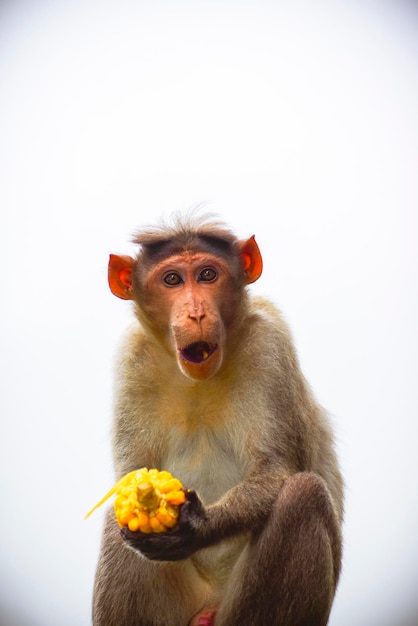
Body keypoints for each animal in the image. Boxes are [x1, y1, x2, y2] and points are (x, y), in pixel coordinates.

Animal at [94, 212, 342, 620]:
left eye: (208, 275)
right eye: (172, 280)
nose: (196, 312)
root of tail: (209, 605)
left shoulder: (268, 345)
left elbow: (274, 469)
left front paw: (198, 526)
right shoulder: (134, 358)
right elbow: (131, 479)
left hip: (240, 605)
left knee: (303, 495)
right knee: (116, 524)